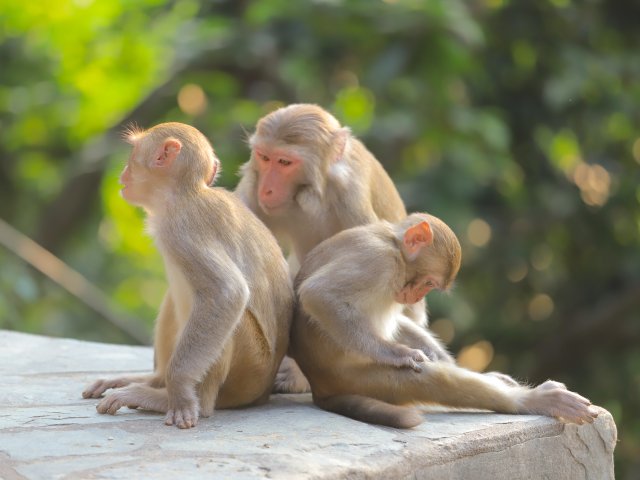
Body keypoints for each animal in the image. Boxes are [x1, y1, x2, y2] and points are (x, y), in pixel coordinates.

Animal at [81, 122, 294, 430]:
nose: (123, 172)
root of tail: (262, 392)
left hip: (249, 372)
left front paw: (180, 394)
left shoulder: (184, 228)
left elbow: (226, 293)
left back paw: (171, 398)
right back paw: (153, 381)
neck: (183, 195)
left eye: (133, 154)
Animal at [288, 213, 596, 428]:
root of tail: (321, 388)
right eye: (428, 282)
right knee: (426, 378)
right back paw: (531, 400)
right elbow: (319, 295)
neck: (393, 244)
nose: (415, 296)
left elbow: (401, 322)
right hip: (359, 380)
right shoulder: (376, 260)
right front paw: (398, 353)